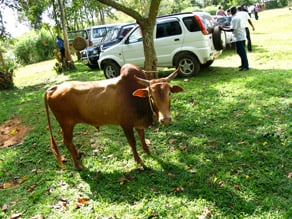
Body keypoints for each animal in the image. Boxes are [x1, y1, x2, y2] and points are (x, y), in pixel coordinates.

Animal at [44, 63, 182, 169]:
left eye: (169, 93)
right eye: (151, 96)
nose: (166, 119)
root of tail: (55, 87)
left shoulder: (138, 123)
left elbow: (142, 137)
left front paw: (147, 150)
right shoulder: (126, 124)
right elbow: (132, 142)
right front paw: (138, 159)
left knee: (70, 142)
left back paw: (78, 155)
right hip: (66, 124)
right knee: (67, 142)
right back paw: (78, 166)